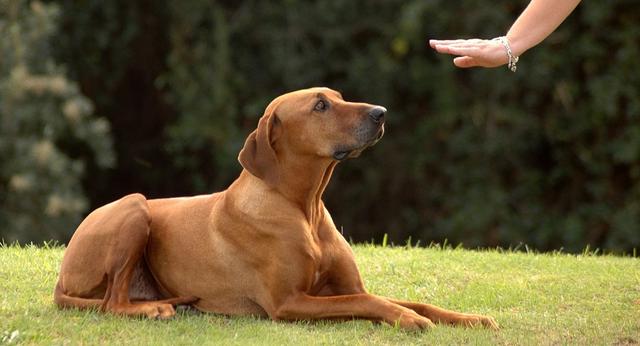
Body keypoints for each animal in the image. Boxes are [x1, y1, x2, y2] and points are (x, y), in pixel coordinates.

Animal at [53, 86, 496, 330]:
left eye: (339, 97)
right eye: (320, 106)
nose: (380, 113)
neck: (304, 208)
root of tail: (61, 278)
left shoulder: (347, 286)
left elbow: (409, 300)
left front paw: (470, 318)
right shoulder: (288, 303)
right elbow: (368, 303)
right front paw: (408, 320)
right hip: (134, 207)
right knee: (111, 303)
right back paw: (154, 310)